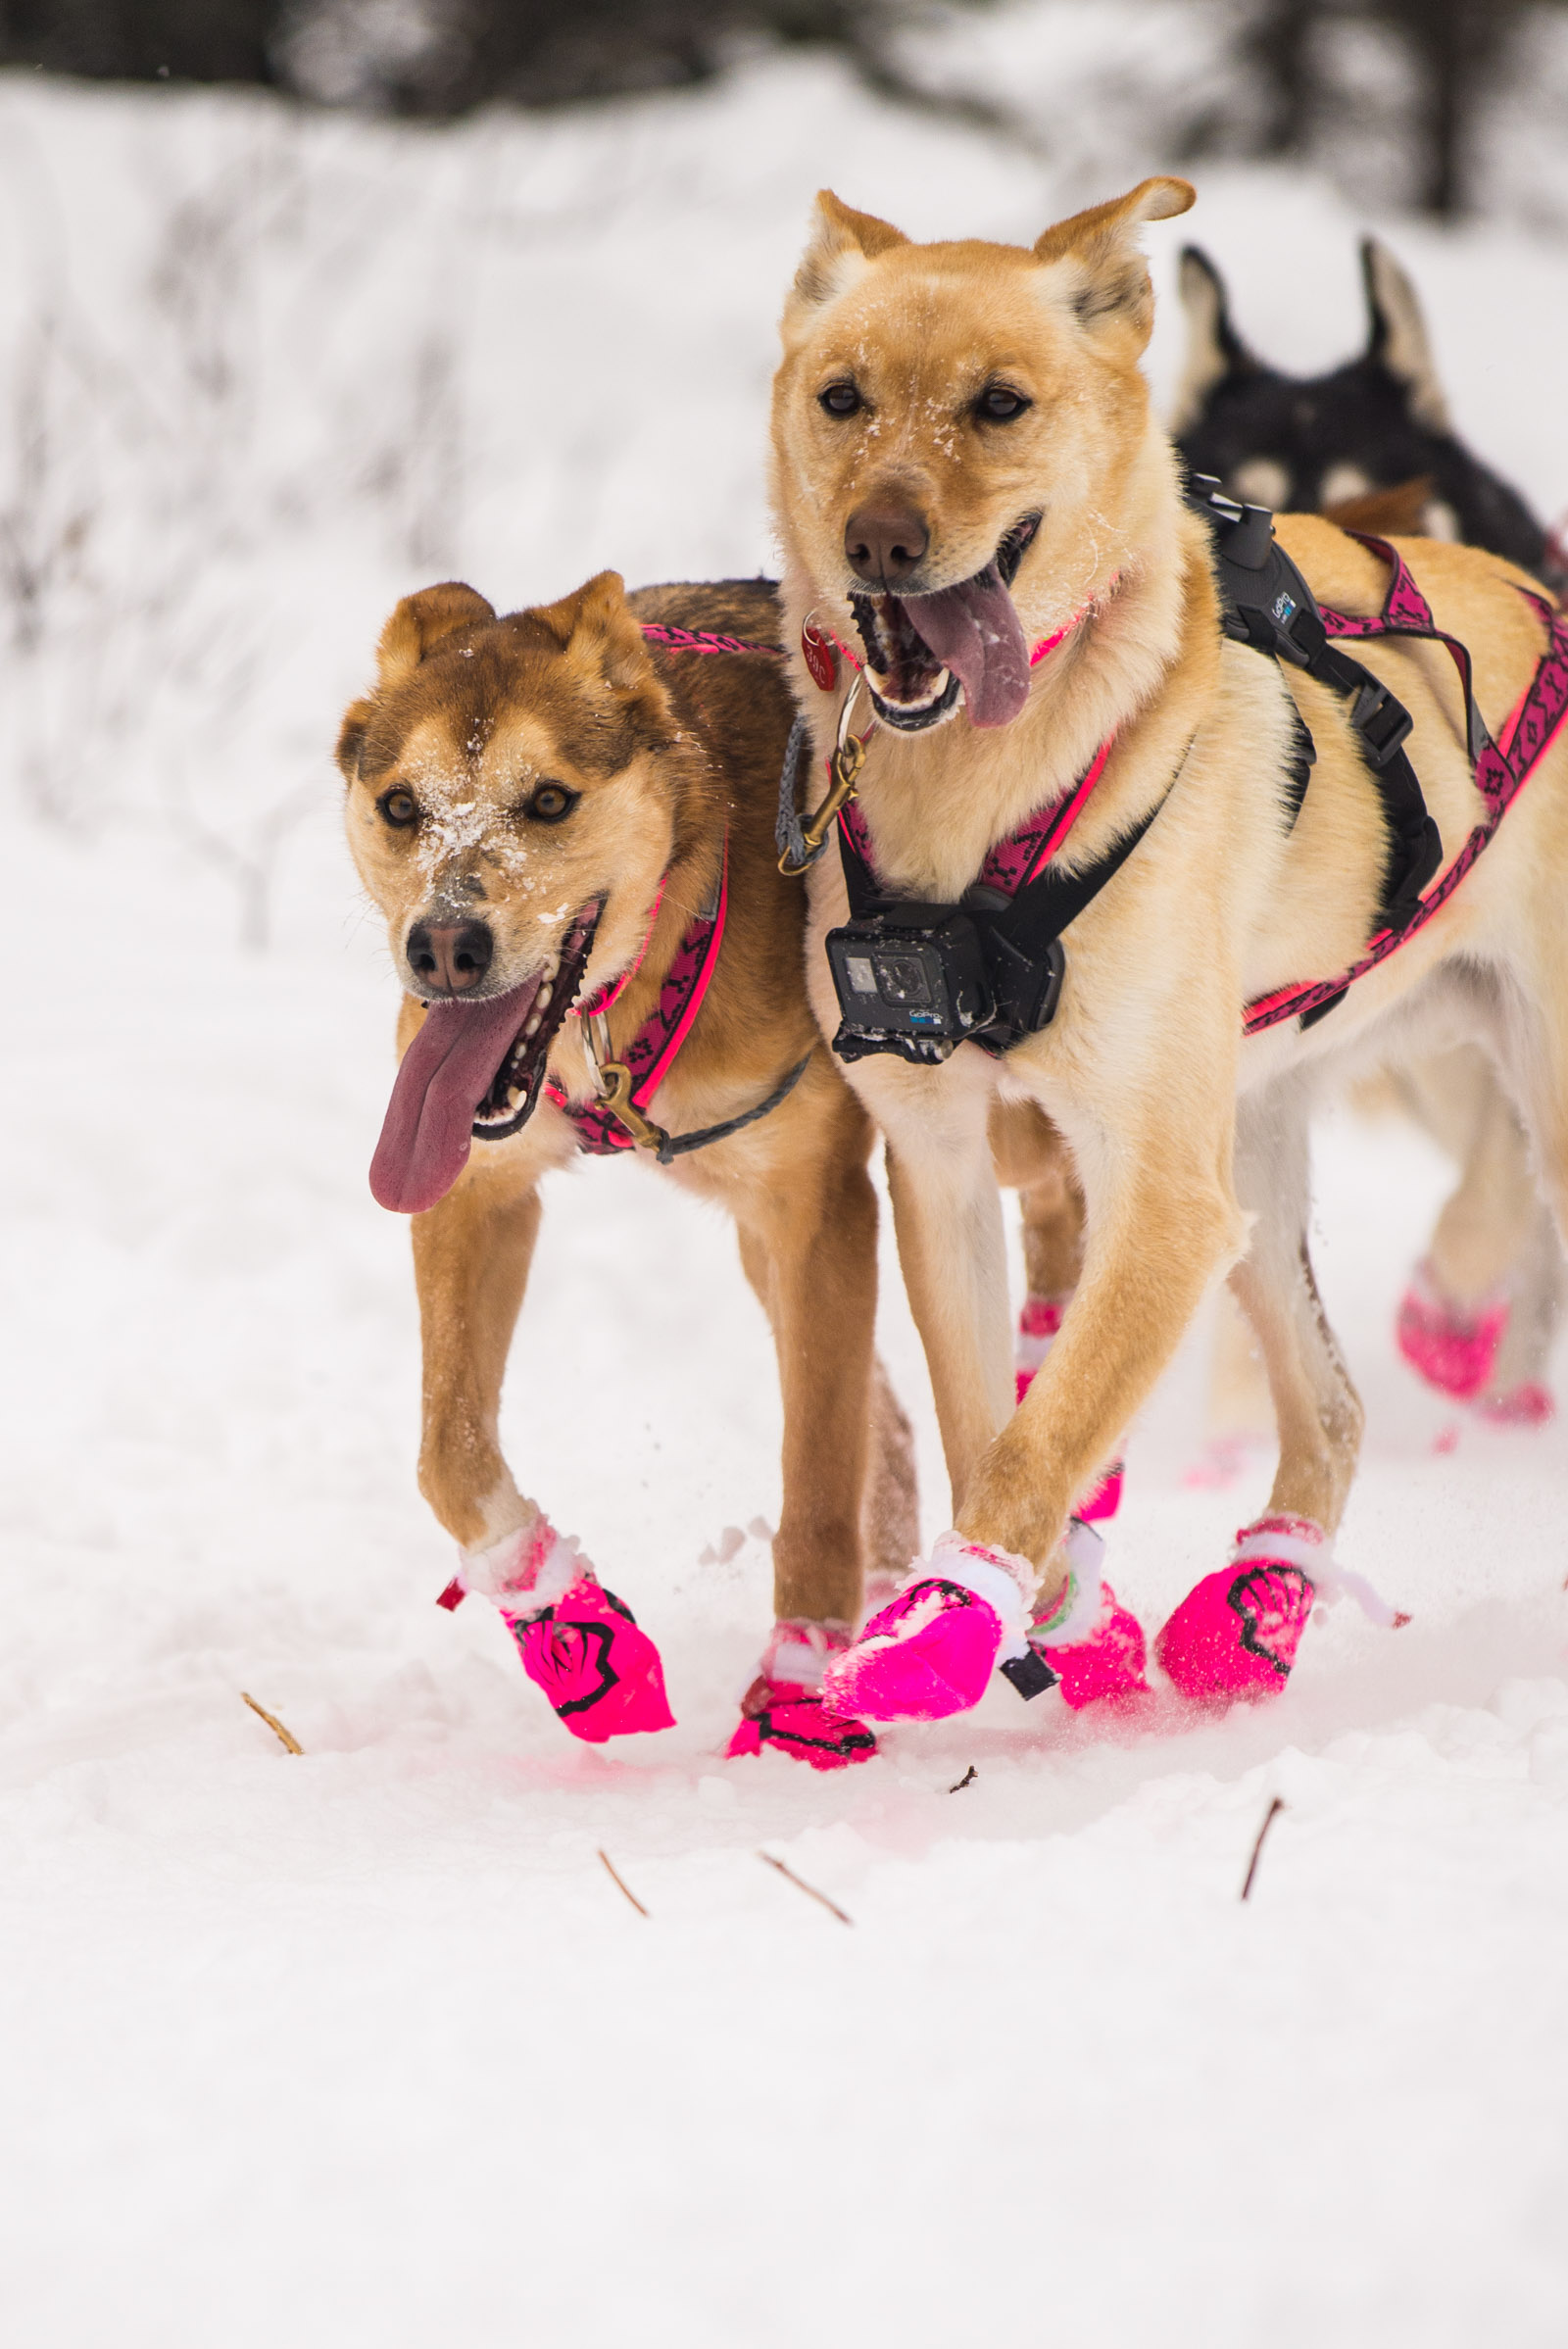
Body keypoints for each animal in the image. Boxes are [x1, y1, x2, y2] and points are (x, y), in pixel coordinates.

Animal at [337, 572, 910, 1766]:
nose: (445, 945)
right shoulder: (475, 1194)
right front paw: (566, 1621)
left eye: (548, 801)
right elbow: (448, 1453)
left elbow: (813, 1482)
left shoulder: (816, 1206)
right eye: (404, 807)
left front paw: (799, 1698)